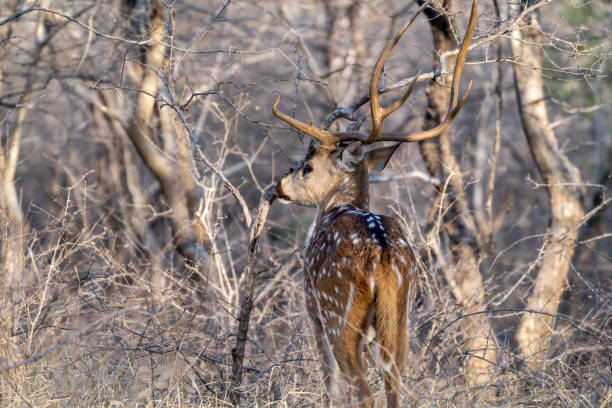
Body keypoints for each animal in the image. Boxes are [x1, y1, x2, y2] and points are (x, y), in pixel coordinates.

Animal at [272, 2, 478, 404]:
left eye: (308, 167)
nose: (278, 186)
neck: (338, 208)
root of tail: (381, 258)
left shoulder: (312, 307)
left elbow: (330, 384)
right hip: (399, 316)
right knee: (395, 381)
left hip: (339, 313)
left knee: (360, 387)